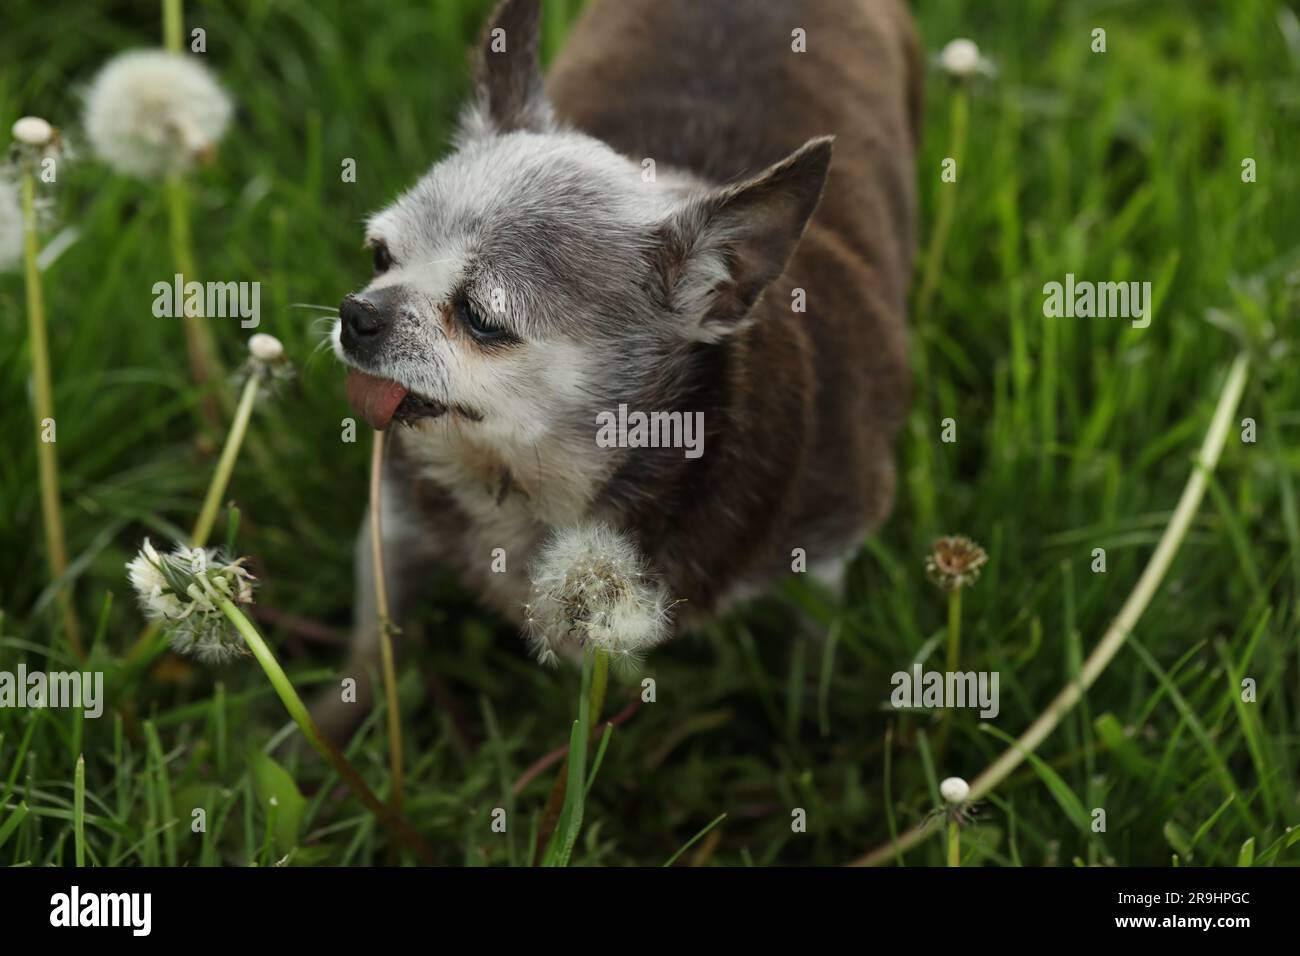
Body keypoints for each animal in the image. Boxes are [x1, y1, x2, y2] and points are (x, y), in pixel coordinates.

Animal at [325, 0, 920, 738]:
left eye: (482, 319)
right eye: (381, 256)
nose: (357, 314)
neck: (530, 485)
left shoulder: (827, 552)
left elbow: (812, 651)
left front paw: (806, 730)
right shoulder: (394, 527)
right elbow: (371, 650)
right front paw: (323, 737)